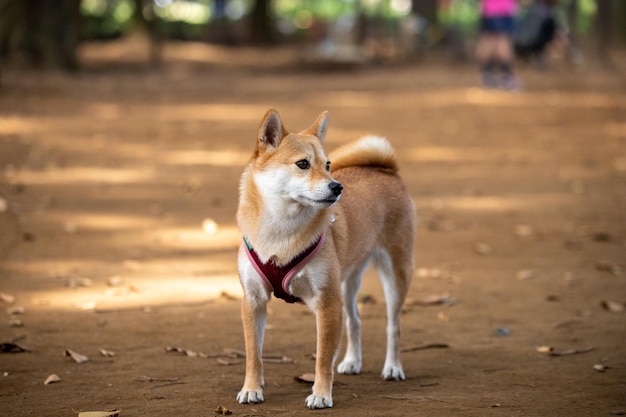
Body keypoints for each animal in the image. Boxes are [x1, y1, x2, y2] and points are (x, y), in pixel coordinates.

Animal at [234, 109, 414, 408]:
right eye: (303, 164)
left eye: (327, 164)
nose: (337, 187)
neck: (281, 231)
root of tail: (385, 169)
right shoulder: (254, 300)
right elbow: (253, 354)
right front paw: (251, 388)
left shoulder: (327, 303)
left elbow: (322, 359)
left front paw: (320, 394)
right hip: (347, 283)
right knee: (354, 320)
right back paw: (352, 361)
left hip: (395, 274)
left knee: (394, 325)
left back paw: (393, 368)